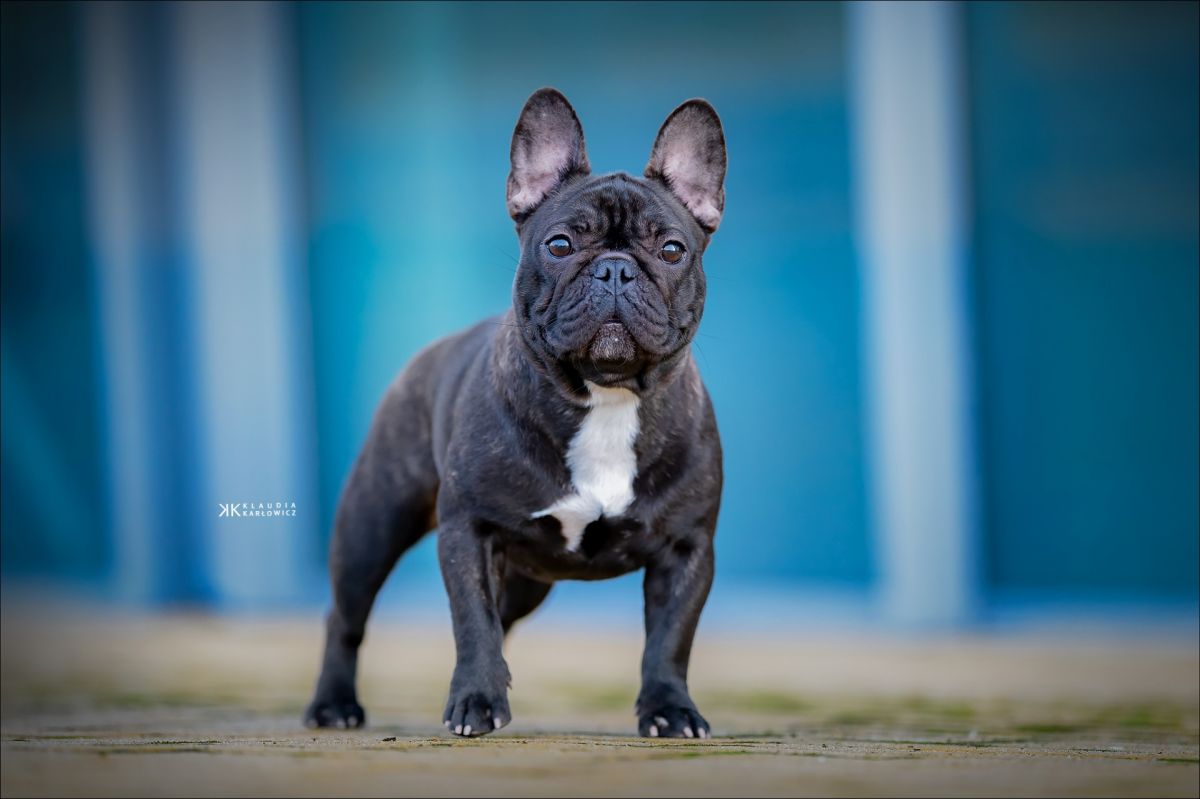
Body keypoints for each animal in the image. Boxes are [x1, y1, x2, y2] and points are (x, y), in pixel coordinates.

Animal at [304, 88, 726, 738]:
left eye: (672, 249)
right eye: (560, 245)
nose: (615, 268)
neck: (605, 398)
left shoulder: (686, 550)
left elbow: (670, 639)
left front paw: (670, 709)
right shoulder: (471, 531)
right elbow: (472, 622)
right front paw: (477, 700)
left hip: (527, 580)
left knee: (504, 616)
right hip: (371, 524)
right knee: (347, 617)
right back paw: (333, 704)